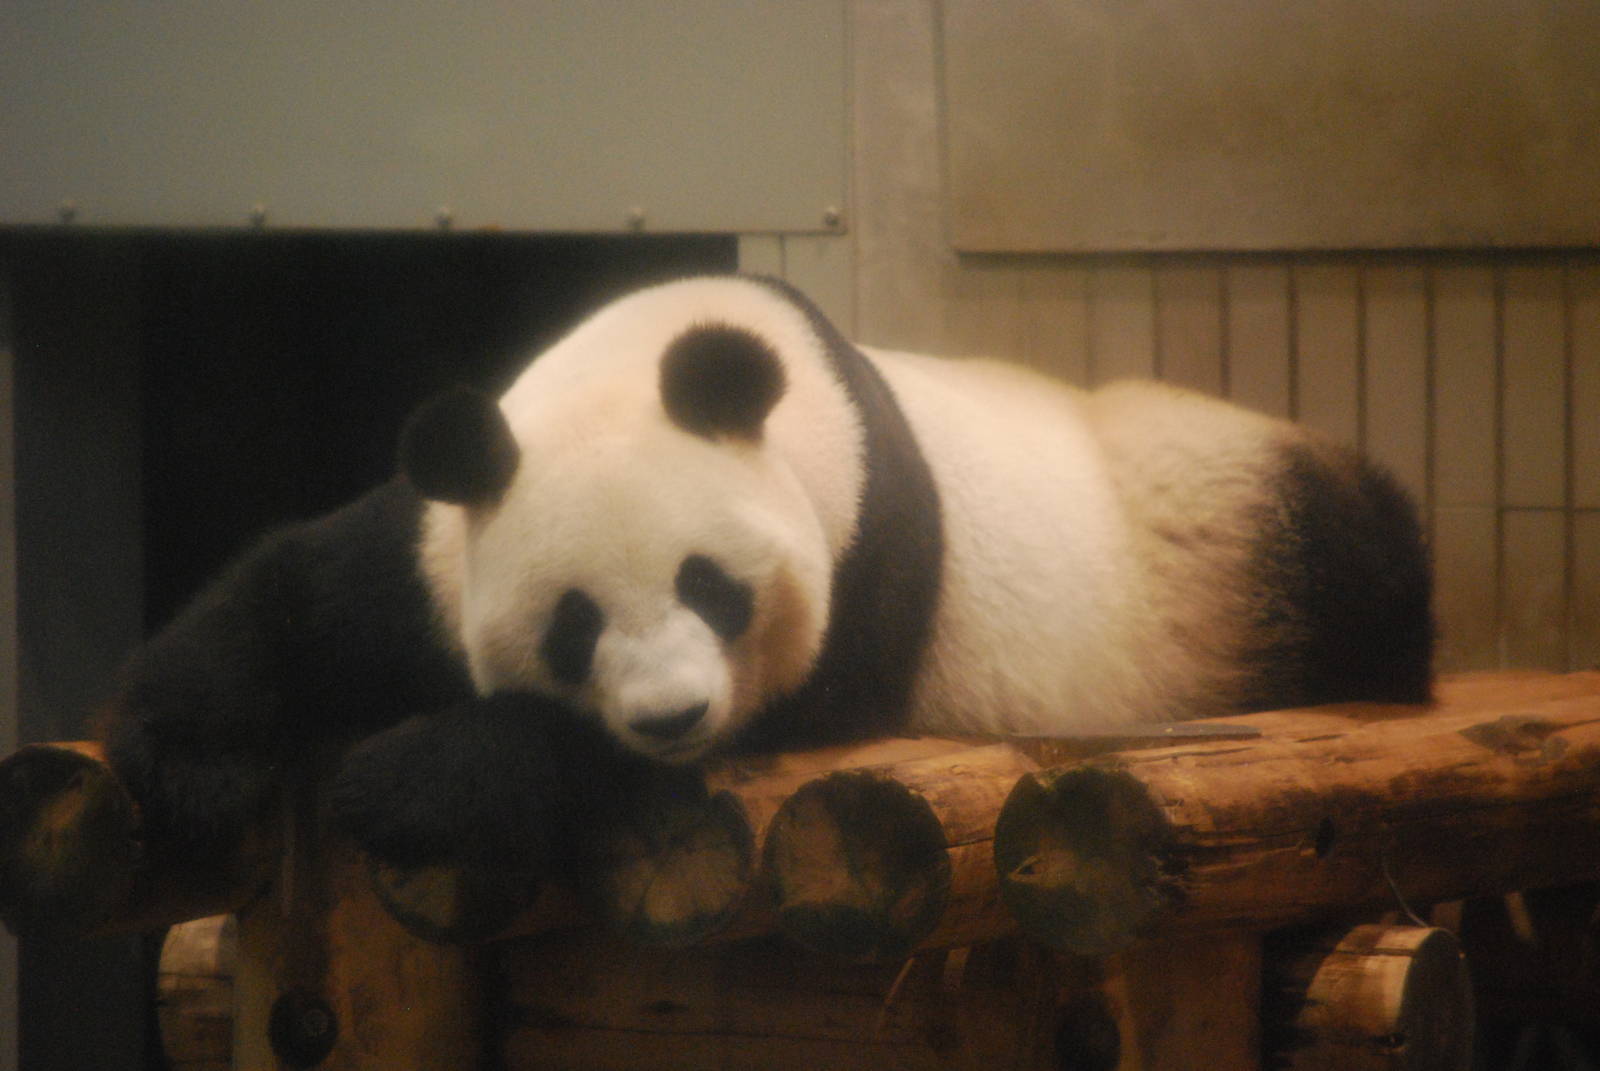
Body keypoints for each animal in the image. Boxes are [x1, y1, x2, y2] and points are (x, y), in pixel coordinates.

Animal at [99, 273, 1432, 879]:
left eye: (711, 588)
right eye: (572, 624)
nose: (672, 715)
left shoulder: (870, 566)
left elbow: (754, 729)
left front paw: (409, 779)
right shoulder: (448, 534)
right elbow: (301, 593)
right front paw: (193, 765)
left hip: (1243, 524)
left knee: (1363, 554)